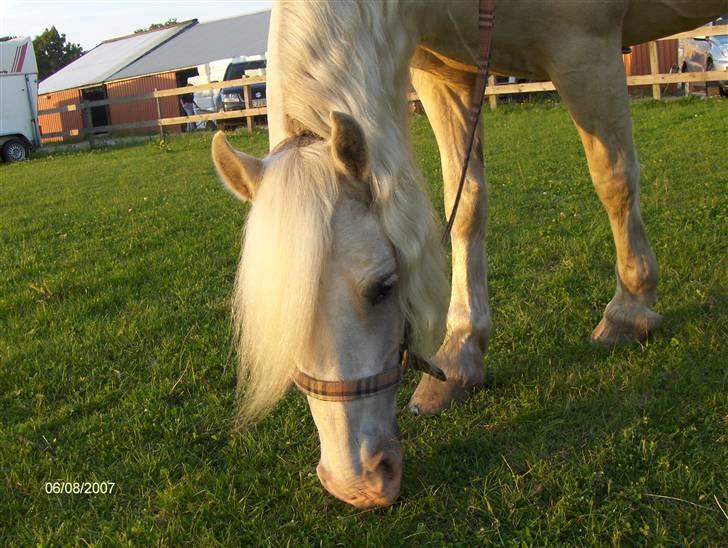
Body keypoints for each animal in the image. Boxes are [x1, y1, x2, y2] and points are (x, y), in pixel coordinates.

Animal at [212, 0, 728, 508]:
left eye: (384, 287)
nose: (356, 483)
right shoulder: (447, 76)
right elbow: (465, 207)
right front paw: (461, 355)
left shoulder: (585, 46)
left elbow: (613, 178)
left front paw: (629, 310)